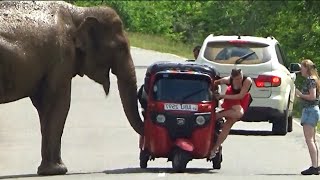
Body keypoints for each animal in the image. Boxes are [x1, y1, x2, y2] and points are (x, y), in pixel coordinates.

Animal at [0, 0, 144, 176]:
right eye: (121, 47)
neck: (80, 12)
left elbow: (44, 106)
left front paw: (48, 170)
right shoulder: (62, 56)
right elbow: (58, 103)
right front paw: (57, 171)